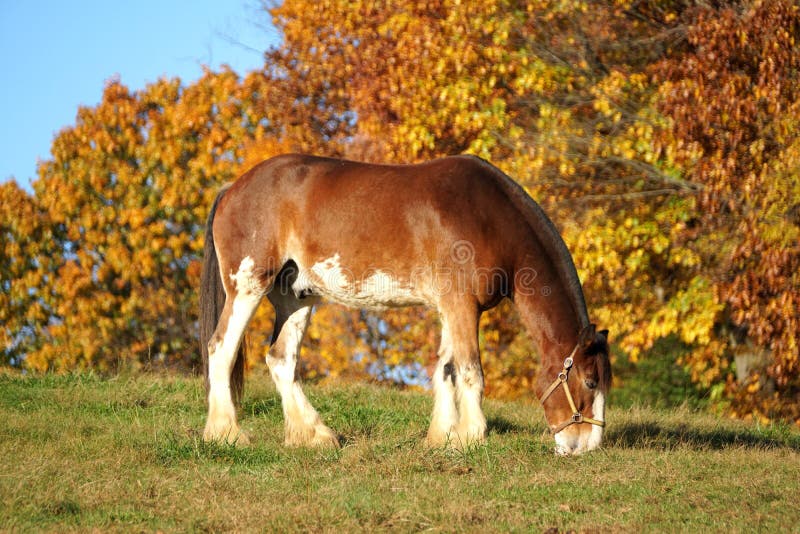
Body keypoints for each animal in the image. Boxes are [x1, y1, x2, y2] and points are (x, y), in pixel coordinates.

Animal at [200, 154, 612, 456]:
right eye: (590, 381)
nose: (585, 447)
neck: (488, 217)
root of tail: (232, 188)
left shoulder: (450, 308)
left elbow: (445, 369)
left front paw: (442, 437)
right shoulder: (462, 306)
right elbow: (470, 371)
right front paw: (471, 436)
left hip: (296, 297)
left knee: (281, 359)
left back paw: (315, 435)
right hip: (249, 285)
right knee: (220, 349)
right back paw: (226, 434)